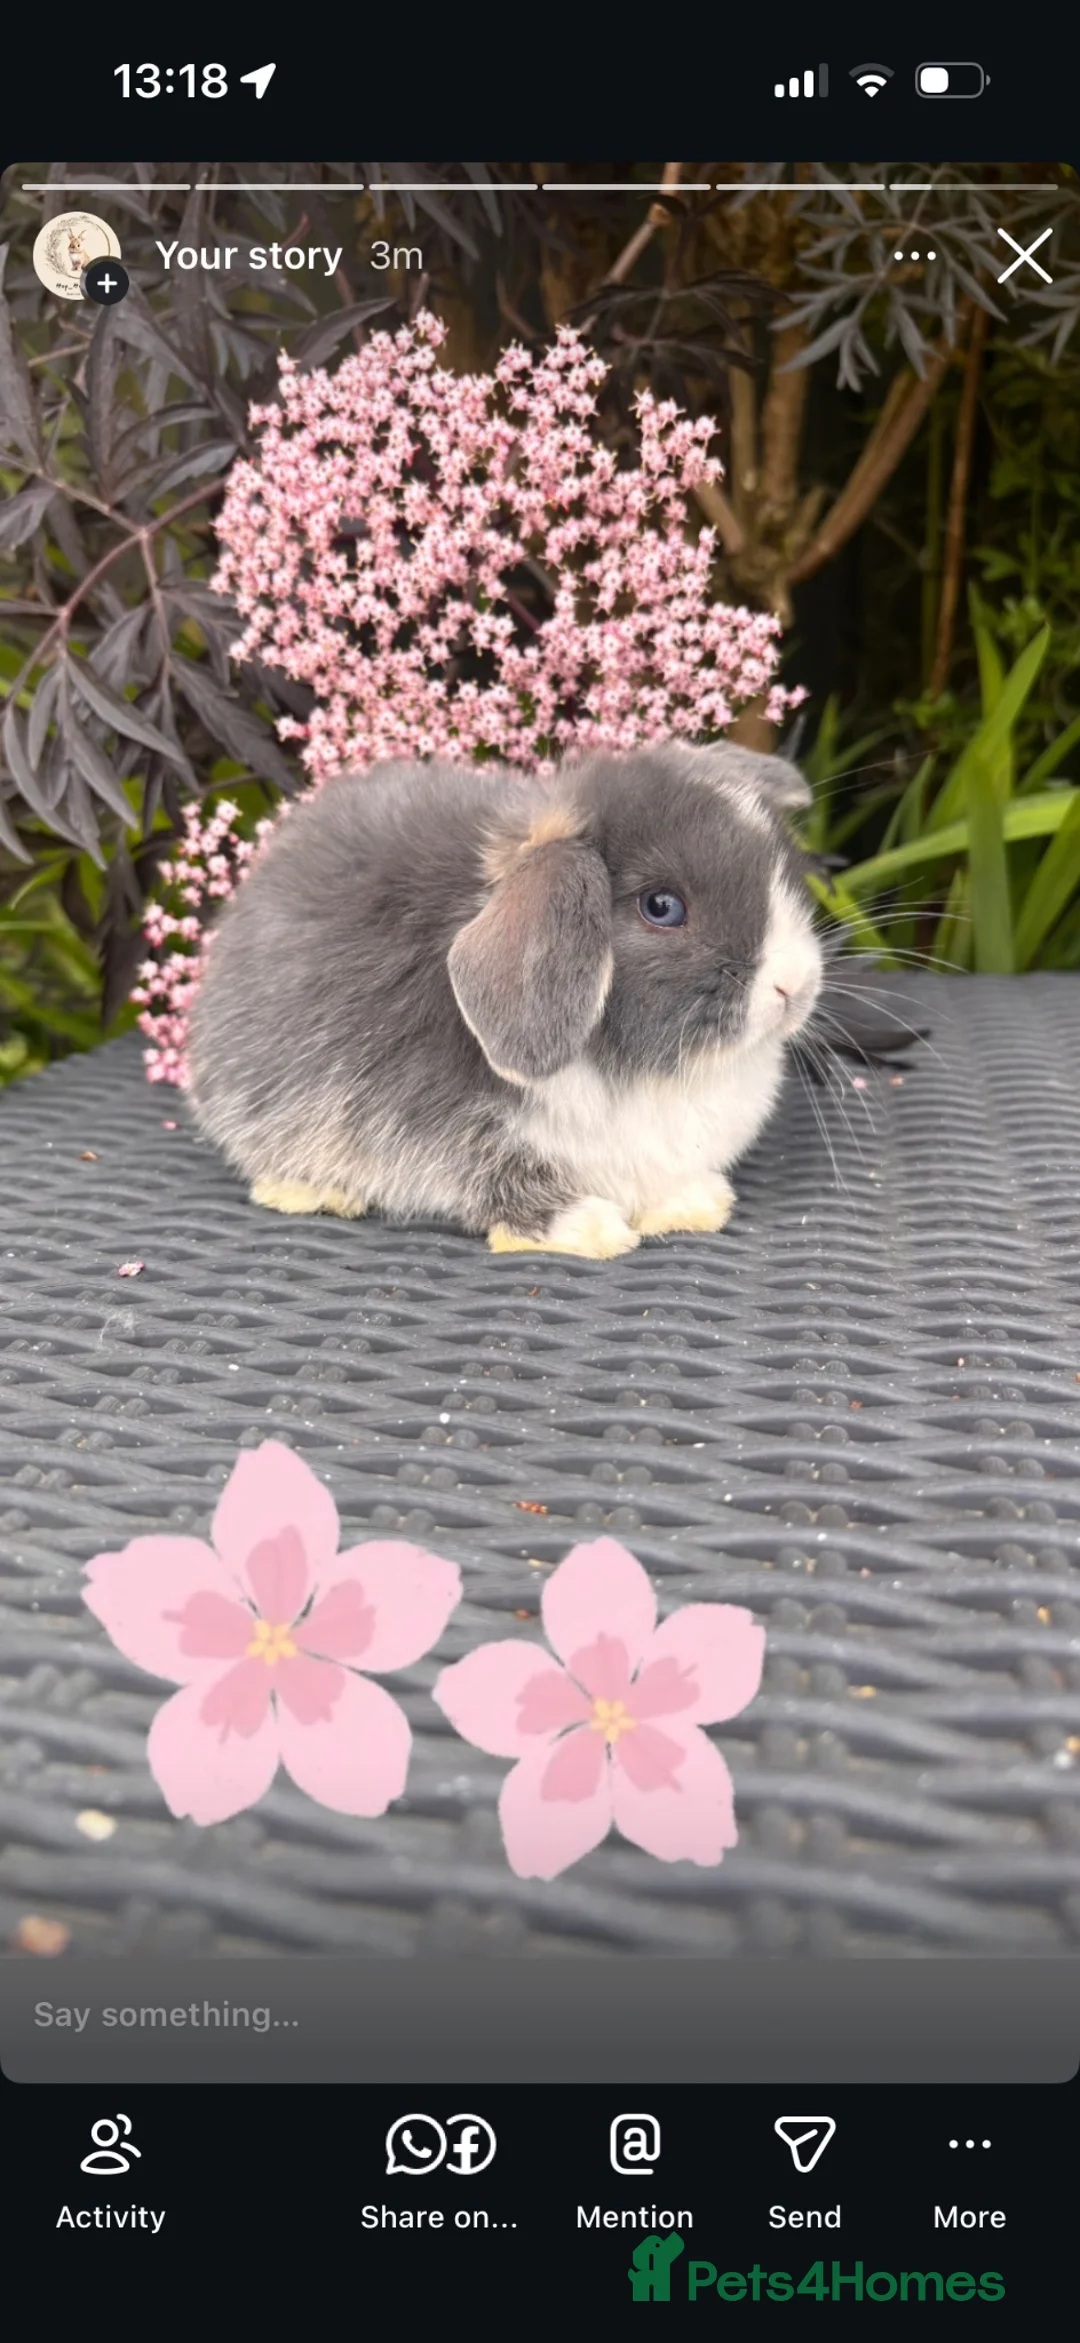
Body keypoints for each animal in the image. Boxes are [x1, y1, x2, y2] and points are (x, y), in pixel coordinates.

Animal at [185, 740, 825, 1259]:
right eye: (662, 907)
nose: (796, 984)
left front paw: (694, 1203)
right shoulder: (432, 1125)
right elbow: (493, 1177)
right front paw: (588, 1228)